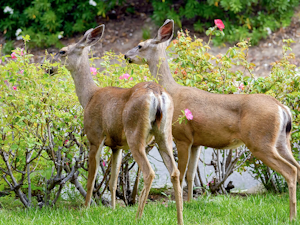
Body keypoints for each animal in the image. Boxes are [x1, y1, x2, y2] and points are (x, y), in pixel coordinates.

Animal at [52, 23, 183, 224]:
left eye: (63, 51)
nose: (48, 67)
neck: (89, 97)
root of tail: (157, 93)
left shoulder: (95, 136)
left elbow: (91, 179)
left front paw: (85, 209)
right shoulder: (116, 146)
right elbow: (113, 180)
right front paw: (113, 209)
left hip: (135, 132)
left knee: (149, 172)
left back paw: (138, 217)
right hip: (164, 133)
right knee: (175, 172)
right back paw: (179, 218)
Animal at [125, 18, 300, 220]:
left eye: (140, 45)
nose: (126, 55)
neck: (173, 91)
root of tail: (282, 108)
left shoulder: (183, 137)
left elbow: (181, 173)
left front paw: (180, 205)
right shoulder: (196, 142)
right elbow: (190, 174)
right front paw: (190, 203)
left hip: (260, 141)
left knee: (290, 171)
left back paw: (291, 216)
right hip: (282, 141)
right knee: (298, 167)